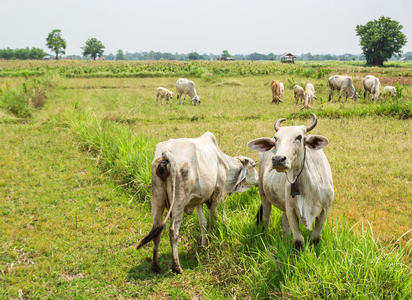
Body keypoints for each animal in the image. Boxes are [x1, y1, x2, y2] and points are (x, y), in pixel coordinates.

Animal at [137, 132, 258, 274]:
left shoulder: (198, 201)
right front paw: (211, 240)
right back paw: (176, 267)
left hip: (157, 201)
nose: (259, 181)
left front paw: (204, 244)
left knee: (156, 230)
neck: (224, 164)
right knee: (173, 231)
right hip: (178, 202)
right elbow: (212, 220)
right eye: (254, 165)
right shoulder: (217, 194)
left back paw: (155, 266)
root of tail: (165, 154)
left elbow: (203, 223)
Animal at [246, 113, 334, 250]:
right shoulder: (291, 210)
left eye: (299, 137)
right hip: (263, 195)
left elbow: (315, 238)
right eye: (276, 138)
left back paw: (286, 239)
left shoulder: (325, 209)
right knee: (266, 219)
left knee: (283, 221)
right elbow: (299, 240)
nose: (278, 159)